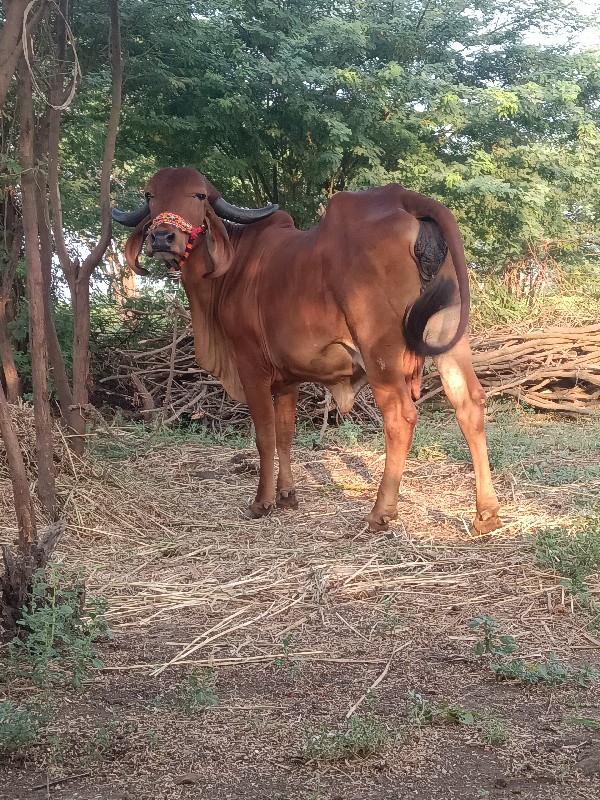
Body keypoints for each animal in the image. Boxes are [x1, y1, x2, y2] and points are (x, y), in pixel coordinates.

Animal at [113, 166, 502, 536]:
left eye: (199, 195)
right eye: (149, 196)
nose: (162, 237)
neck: (230, 270)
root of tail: (404, 197)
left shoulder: (251, 367)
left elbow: (265, 437)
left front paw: (262, 502)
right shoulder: (288, 379)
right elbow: (285, 435)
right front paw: (287, 495)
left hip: (380, 351)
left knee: (401, 417)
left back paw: (380, 513)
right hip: (449, 336)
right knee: (469, 403)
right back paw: (486, 514)